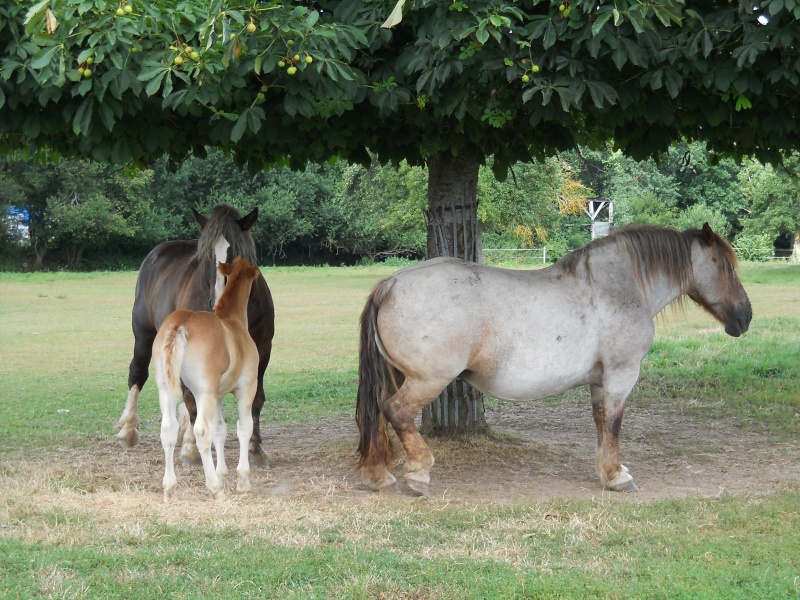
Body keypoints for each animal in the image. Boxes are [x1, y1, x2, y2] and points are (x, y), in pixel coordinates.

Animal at [115, 204, 276, 466]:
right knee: (138, 374)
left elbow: (255, 398)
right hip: (144, 335)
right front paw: (192, 451)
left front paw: (255, 450)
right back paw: (129, 430)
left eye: (237, 253)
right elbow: (193, 401)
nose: (218, 302)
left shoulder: (261, 350)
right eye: (206, 256)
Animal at [356, 223, 752, 494]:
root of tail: (391, 283)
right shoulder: (622, 374)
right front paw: (618, 476)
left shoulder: (600, 380)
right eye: (726, 267)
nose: (744, 317)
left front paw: (605, 471)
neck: (620, 286)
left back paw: (378, 475)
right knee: (397, 412)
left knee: (379, 414)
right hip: (428, 379)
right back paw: (418, 474)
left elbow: (600, 422)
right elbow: (614, 423)